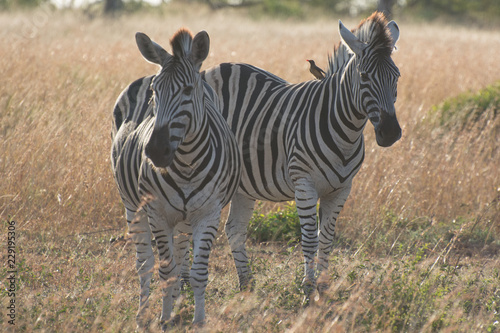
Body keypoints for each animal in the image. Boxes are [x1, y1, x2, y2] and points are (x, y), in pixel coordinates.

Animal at [110, 29, 242, 326]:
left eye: (188, 90)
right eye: (154, 92)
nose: (156, 151)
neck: (187, 164)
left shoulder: (208, 213)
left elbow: (197, 271)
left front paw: (198, 320)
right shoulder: (158, 213)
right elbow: (165, 271)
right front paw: (164, 319)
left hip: (184, 219)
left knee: (180, 255)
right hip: (132, 205)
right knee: (145, 264)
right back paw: (143, 314)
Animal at [203, 13, 402, 296]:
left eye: (396, 76)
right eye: (364, 76)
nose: (390, 133)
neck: (344, 130)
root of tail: (211, 69)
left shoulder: (341, 189)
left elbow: (326, 239)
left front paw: (325, 286)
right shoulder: (305, 184)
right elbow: (309, 239)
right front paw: (308, 288)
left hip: (243, 184)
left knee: (234, 230)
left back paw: (247, 284)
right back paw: (182, 284)